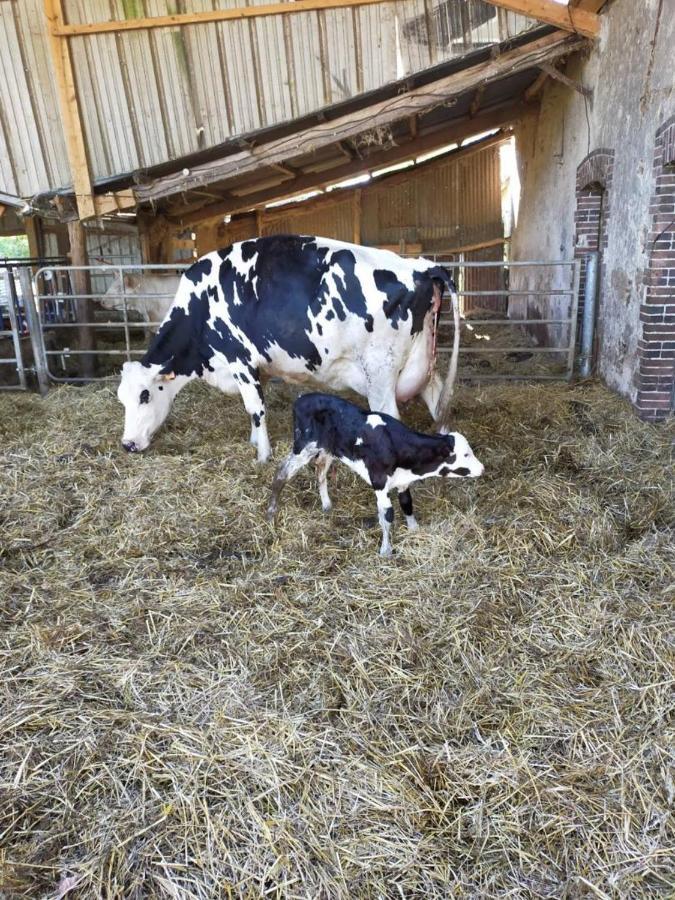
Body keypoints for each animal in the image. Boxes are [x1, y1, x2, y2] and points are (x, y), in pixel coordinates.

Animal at [119, 236, 462, 460]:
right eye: (121, 399)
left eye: (145, 395)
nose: (127, 444)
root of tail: (420, 266)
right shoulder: (257, 368)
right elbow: (254, 409)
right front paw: (254, 443)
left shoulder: (240, 360)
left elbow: (256, 408)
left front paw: (262, 456)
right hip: (422, 366)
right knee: (439, 404)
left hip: (380, 373)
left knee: (390, 415)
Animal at [266, 394, 484, 556]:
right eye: (466, 454)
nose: (482, 468)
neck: (396, 444)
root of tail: (302, 398)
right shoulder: (379, 482)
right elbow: (387, 516)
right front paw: (386, 551)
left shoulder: (401, 481)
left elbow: (406, 503)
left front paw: (414, 530)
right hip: (303, 446)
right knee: (282, 472)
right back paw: (271, 511)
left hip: (327, 449)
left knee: (320, 469)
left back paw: (326, 504)